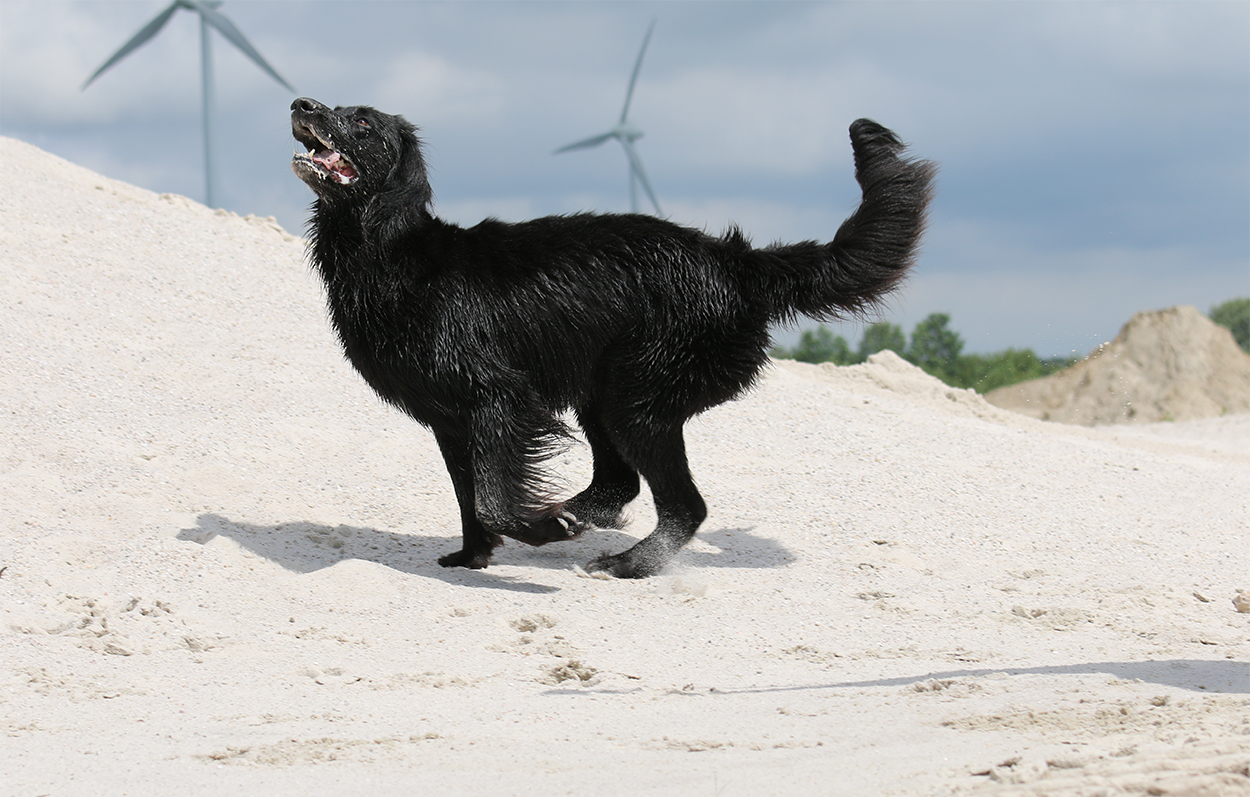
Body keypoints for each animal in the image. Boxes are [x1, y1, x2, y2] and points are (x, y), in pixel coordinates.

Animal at [290, 97, 934, 578]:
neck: (392, 255)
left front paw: (540, 529)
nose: (302, 103)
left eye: (363, 122)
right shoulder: (450, 420)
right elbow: (470, 499)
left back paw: (628, 560)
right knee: (620, 482)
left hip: (635, 398)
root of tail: (735, 262)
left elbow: (493, 499)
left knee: (684, 504)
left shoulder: (499, 398)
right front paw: (474, 557)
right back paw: (581, 514)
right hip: (600, 390)